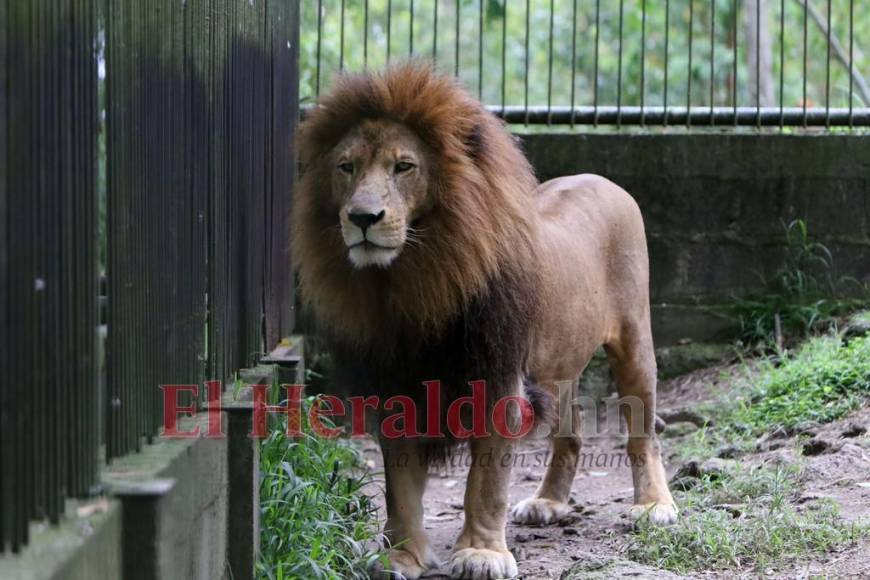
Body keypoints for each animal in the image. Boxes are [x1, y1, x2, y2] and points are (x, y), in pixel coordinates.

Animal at [292, 61, 680, 576]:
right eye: (346, 167)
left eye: (404, 166)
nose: (361, 217)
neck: (412, 281)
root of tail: (601, 177)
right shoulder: (397, 383)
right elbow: (400, 488)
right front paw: (401, 555)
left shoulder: (498, 376)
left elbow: (486, 482)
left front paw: (481, 552)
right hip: (558, 361)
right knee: (571, 432)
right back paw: (548, 503)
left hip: (634, 339)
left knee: (643, 433)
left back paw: (654, 505)